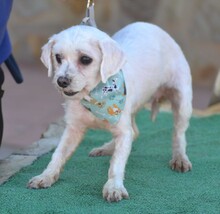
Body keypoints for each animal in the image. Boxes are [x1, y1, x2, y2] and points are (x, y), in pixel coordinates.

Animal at [27, 22, 192, 202]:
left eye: (85, 59)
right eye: (58, 57)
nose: (61, 81)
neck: (94, 96)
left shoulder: (122, 129)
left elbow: (117, 163)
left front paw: (114, 187)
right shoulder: (73, 128)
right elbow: (58, 154)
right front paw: (46, 176)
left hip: (182, 102)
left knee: (178, 133)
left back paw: (180, 157)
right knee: (135, 132)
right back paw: (106, 148)